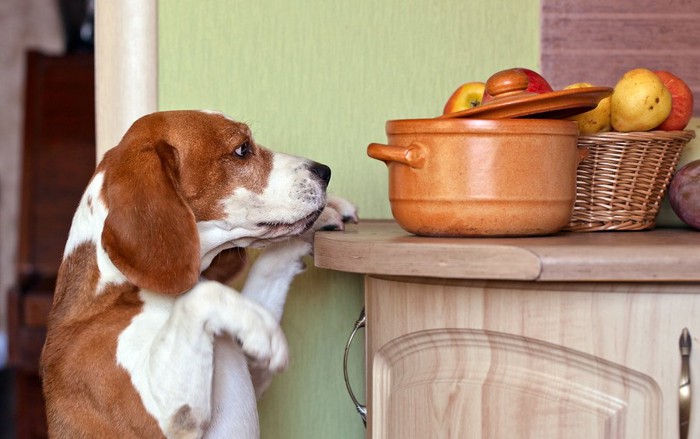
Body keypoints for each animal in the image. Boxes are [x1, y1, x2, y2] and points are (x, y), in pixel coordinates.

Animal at [39, 108, 356, 438]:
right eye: (242, 149)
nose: (325, 171)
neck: (121, 288)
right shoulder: (169, 416)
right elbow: (205, 294)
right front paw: (262, 329)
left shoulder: (254, 373)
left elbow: (267, 269)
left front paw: (326, 215)